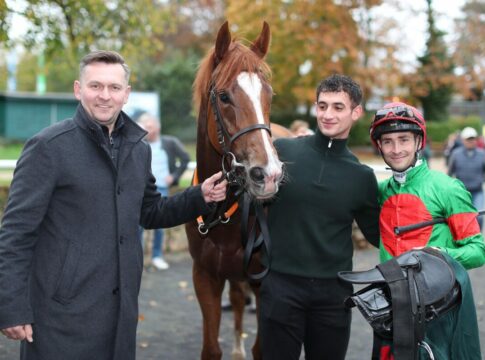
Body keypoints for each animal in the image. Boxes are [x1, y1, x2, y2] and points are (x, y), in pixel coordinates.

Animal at [185, 21, 284, 358]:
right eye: (224, 96)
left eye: (269, 94)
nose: (268, 174)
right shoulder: (205, 278)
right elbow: (211, 348)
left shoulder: (265, 284)